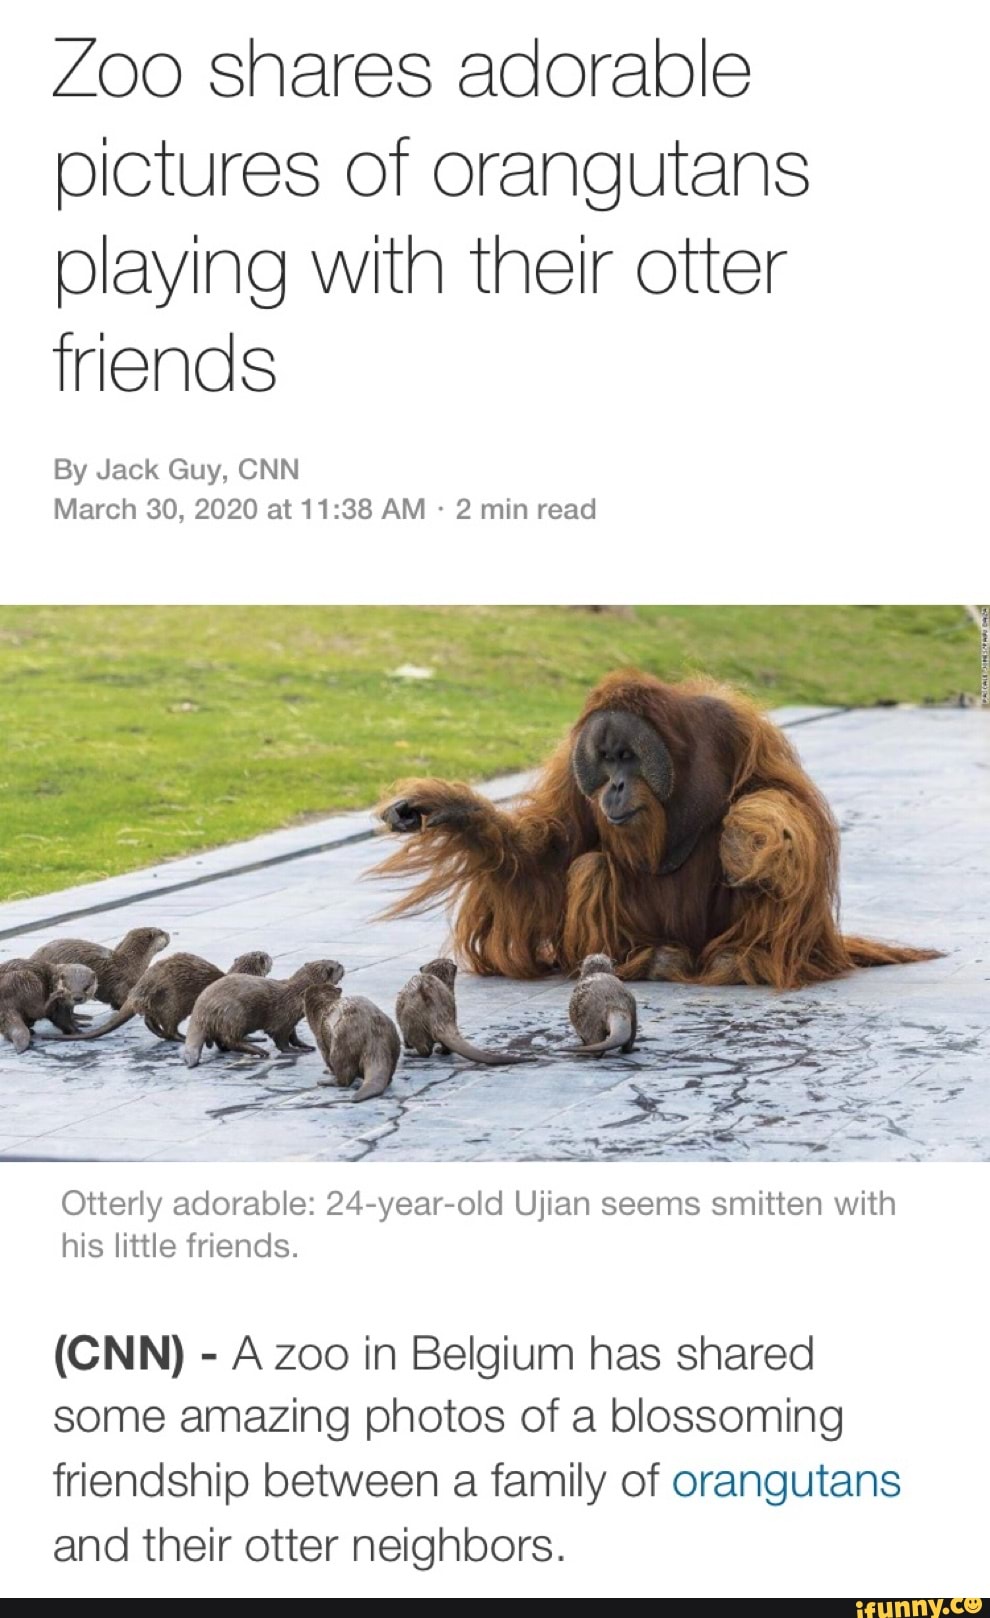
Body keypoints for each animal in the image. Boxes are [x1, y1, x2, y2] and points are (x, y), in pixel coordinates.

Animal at [67, 949, 273, 1043]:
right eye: (265, 956)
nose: (269, 955)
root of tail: (139, 989)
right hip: (173, 1002)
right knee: (169, 1027)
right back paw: (181, 1037)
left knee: (150, 1020)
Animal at [182, 960, 344, 1067]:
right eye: (337, 966)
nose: (342, 965)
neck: (297, 996)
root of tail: (201, 1009)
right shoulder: (282, 1020)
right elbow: (281, 1040)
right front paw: (295, 1050)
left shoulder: (291, 1020)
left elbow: (293, 1035)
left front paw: (305, 1045)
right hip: (235, 1014)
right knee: (231, 1039)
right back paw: (259, 1050)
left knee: (221, 1040)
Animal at [395, 957, 527, 1065]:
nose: (450, 959)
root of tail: (437, 1015)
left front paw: (407, 1046)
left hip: (410, 1019)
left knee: (424, 1049)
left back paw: (411, 1053)